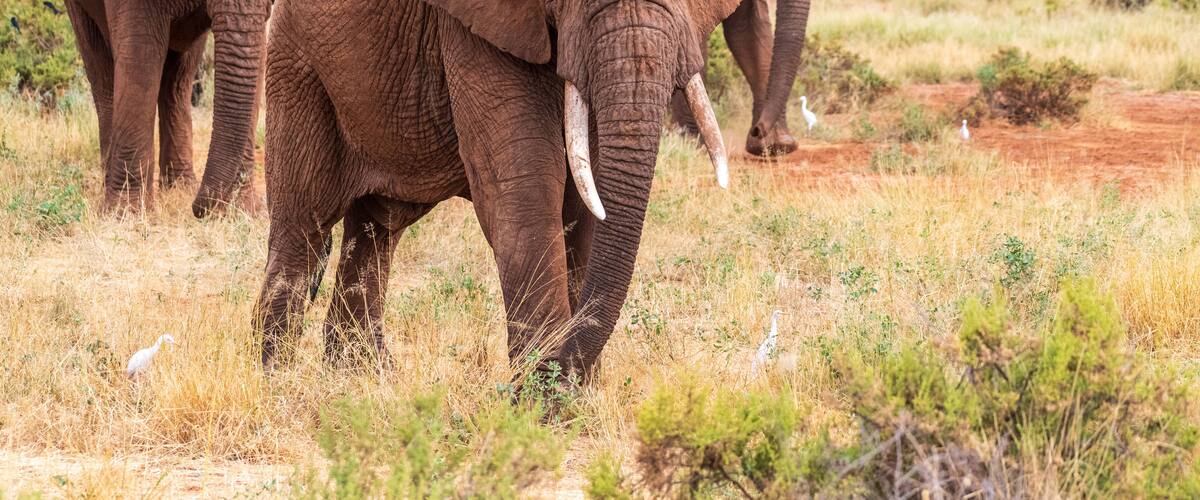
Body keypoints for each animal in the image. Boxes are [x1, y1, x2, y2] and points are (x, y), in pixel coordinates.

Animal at [65, 0, 269, 215]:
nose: (197, 210)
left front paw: (243, 209)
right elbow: (140, 52)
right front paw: (126, 213)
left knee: (180, 73)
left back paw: (180, 188)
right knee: (101, 68)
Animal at [255, 0, 741, 377]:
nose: (560, 371)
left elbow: (587, 200)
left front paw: (577, 396)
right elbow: (523, 189)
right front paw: (544, 406)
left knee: (378, 227)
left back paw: (361, 378)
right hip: (298, 66)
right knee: (305, 225)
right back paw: (278, 380)